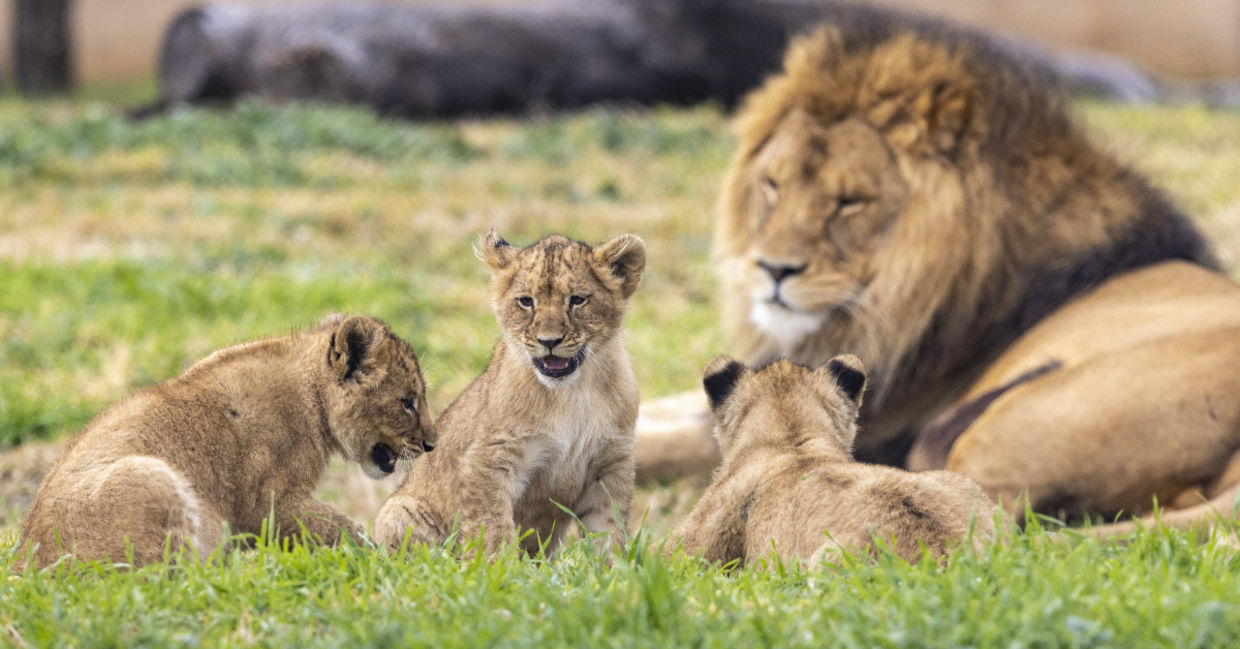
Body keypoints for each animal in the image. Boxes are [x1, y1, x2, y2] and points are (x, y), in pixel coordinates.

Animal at [19, 314, 435, 566]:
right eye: (408, 402)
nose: (431, 444)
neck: (312, 397)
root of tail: (24, 564)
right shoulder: (267, 504)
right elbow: (342, 529)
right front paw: (388, 561)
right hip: (147, 474)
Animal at [373, 232, 645, 557]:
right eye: (526, 301)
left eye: (578, 300)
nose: (549, 341)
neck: (573, 392)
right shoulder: (489, 457)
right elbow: (492, 527)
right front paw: (496, 566)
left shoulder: (611, 463)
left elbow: (608, 531)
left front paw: (612, 567)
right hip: (397, 511)